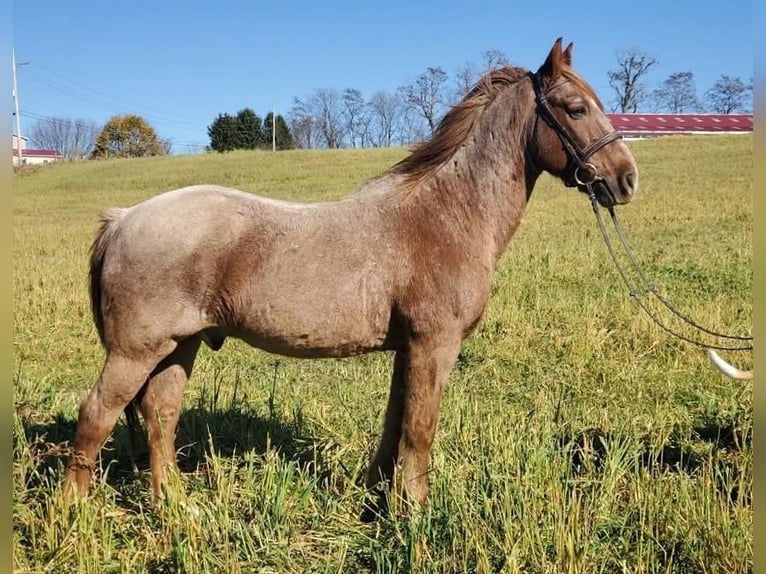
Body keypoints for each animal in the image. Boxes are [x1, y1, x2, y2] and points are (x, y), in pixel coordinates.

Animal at [63, 38, 640, 520]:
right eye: (576, 108)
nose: (626, 179)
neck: (444, 215)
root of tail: (122, 219)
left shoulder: (409, 349)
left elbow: (395, 423)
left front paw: (378, 498)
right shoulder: (435, 344)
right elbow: (420, 428)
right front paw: (414, 515)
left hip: (178, 346)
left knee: (160, 416)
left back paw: (177, 508)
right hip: (135, 351)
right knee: (96, 415)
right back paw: (70, 516)